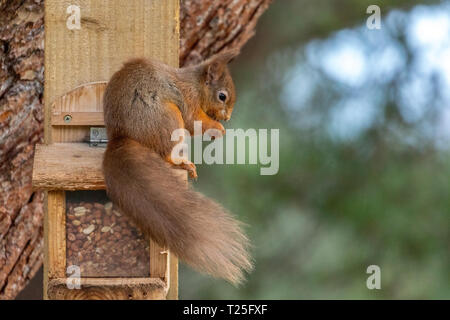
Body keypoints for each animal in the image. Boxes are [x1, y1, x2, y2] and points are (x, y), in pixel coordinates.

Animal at [103, 50, 253, 284]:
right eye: (222, 96)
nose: (227, 118)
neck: (196, 84)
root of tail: (120, 138)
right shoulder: (187, 99)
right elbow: (193, 121)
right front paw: (217, 128)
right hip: (168, 118)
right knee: (166, 153)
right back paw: (183, 163)